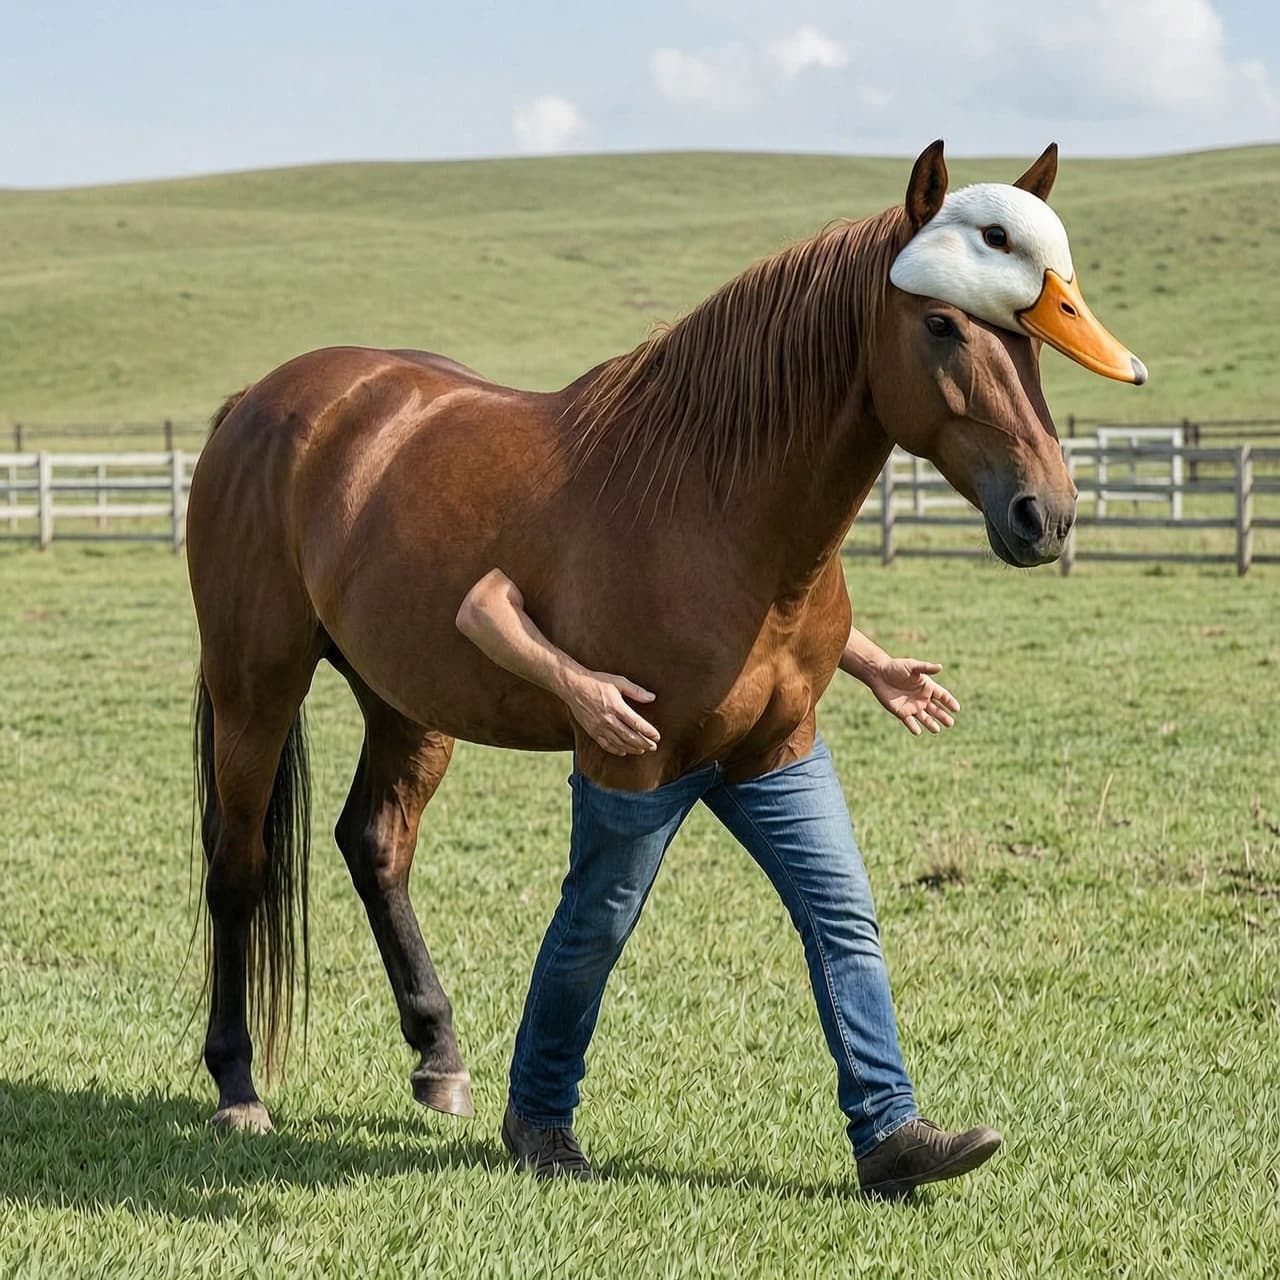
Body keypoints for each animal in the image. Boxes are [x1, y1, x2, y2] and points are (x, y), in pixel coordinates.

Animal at [185, 141, 1142, 1132]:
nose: (1047, 513)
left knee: (376, 847)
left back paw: (437, 1054)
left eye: (1030, 337)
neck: (718, 505)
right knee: (237, 864)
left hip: (406, 699)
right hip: (256, 685)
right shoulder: (628, 756)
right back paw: (236, 1083)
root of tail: (259, 403)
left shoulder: (778, 743)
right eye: (945, 325)